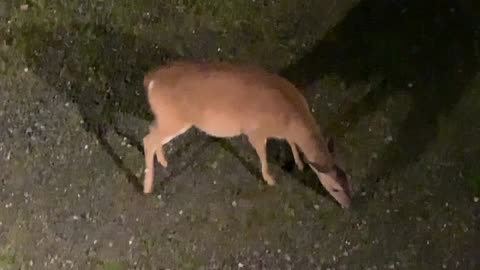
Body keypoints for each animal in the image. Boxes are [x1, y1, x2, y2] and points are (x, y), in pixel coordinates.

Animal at [141, 61, 350, 208]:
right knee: (148, 140)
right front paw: (270, 179)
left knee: (151, 131)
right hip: (175, 120)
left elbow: (292, 142)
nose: (349, 205)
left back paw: (163, 161)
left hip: (166, 118)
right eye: (335, 188)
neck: (291, 114)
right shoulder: (255, 132)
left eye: (349, 180)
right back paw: (147, 186)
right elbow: (263, 155)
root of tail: (150, 80)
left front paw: (299, 163)